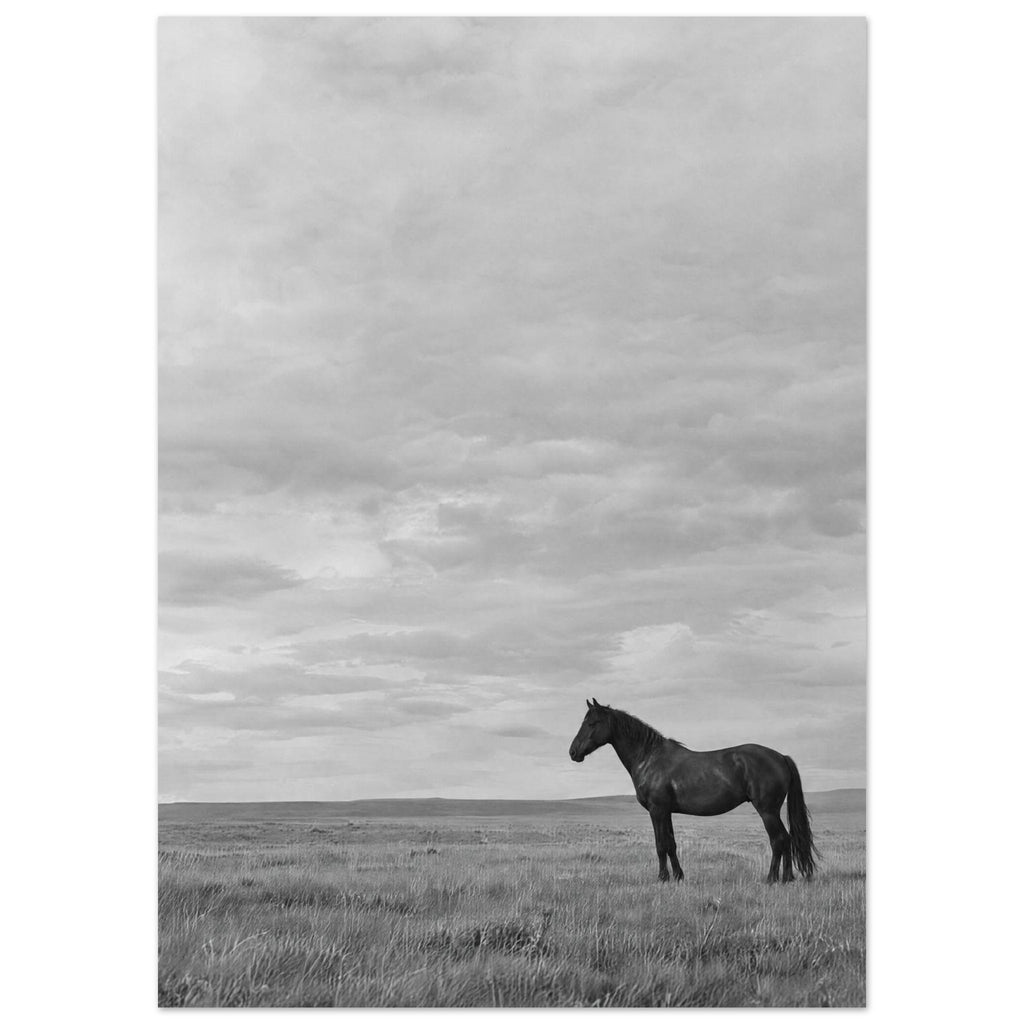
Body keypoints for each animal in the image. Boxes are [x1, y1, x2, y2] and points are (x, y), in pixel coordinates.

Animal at [569, 698, 818, 884]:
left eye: (592, 723)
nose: (573, 752)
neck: (649, 758)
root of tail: (781, 757)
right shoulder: (666, 812)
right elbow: (671, 844)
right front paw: (678, 876)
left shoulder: (657, 811)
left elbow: (661, 845)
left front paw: (662, 878)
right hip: (772, 811)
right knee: (786, 839)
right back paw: (787, 878)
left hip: (767, 811)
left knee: (778, 840)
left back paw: (772, 879)